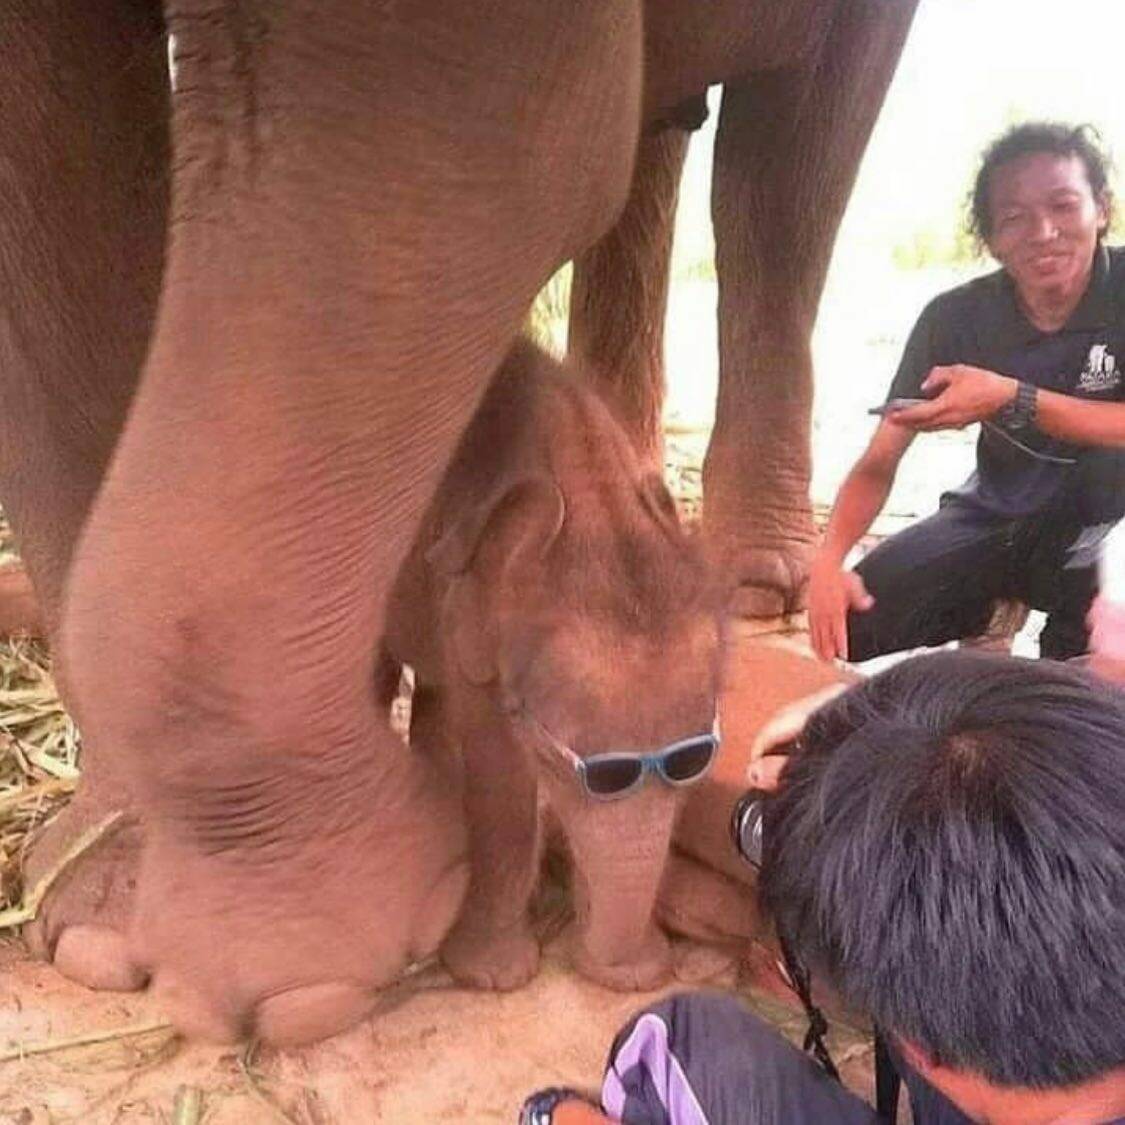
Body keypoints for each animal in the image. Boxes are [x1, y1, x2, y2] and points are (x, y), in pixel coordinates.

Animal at [382, 337, 720, 990]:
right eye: (566, 764)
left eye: (695, 763)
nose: (638, 977)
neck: (589, 491)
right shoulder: (469, 603)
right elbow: (499, 765)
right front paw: (490, 976)